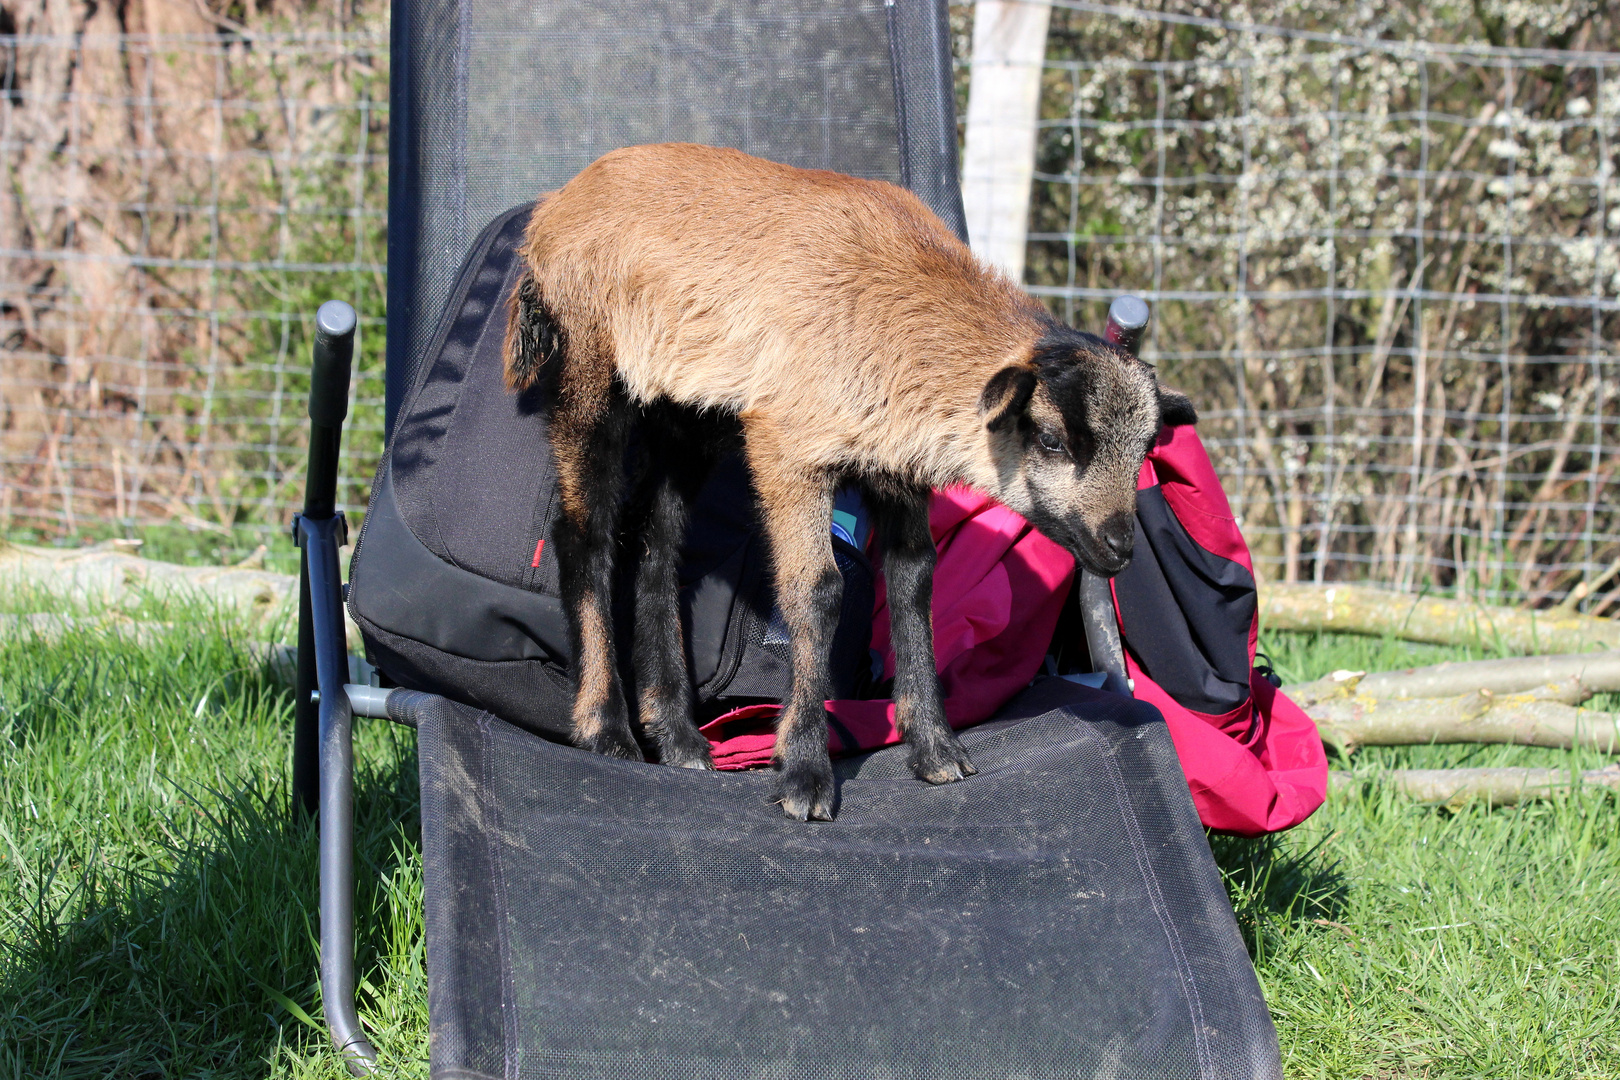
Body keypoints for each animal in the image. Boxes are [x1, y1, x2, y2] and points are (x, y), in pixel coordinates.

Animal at [502, 143, 1192, 819]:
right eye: (1050, 439)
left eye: (1144, 450)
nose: (1119, 548)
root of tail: (553, 211)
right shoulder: (788, 446)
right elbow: (819, 592)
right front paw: (806, 772)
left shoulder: (899, 470)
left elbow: (914, 585)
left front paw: (935, 749)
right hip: (588, 365)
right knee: (585, 537)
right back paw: (605, 728)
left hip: (686, 411)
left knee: (656, 543)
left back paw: (677, 735)